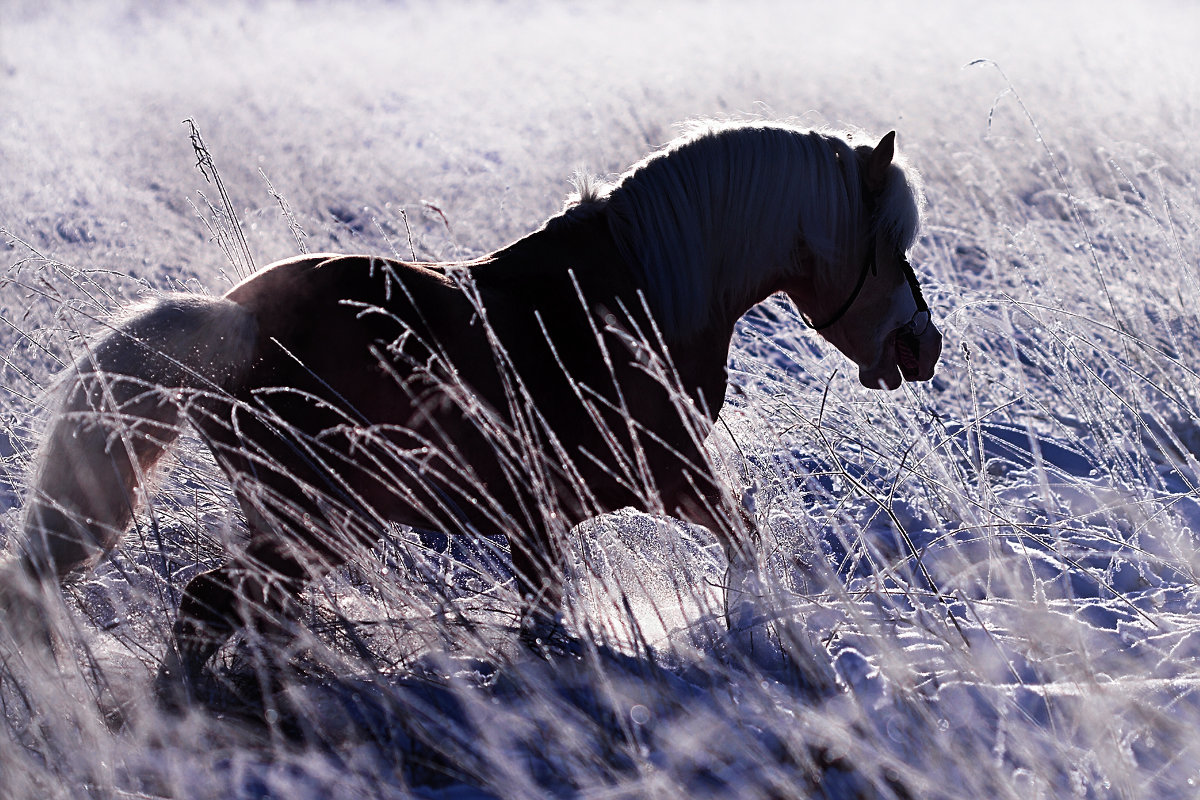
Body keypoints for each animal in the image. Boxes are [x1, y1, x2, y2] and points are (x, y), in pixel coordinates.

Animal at [4, 118, 940, 695]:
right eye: (891, 248)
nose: (921, 348)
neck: (638, 297)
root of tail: (232, 323)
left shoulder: (541, 518)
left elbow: (545, 614)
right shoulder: (665, 476)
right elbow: (741, 536)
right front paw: (759, 628)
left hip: (303, 523)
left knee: (243, 613)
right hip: (317, 518)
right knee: (211, 604)